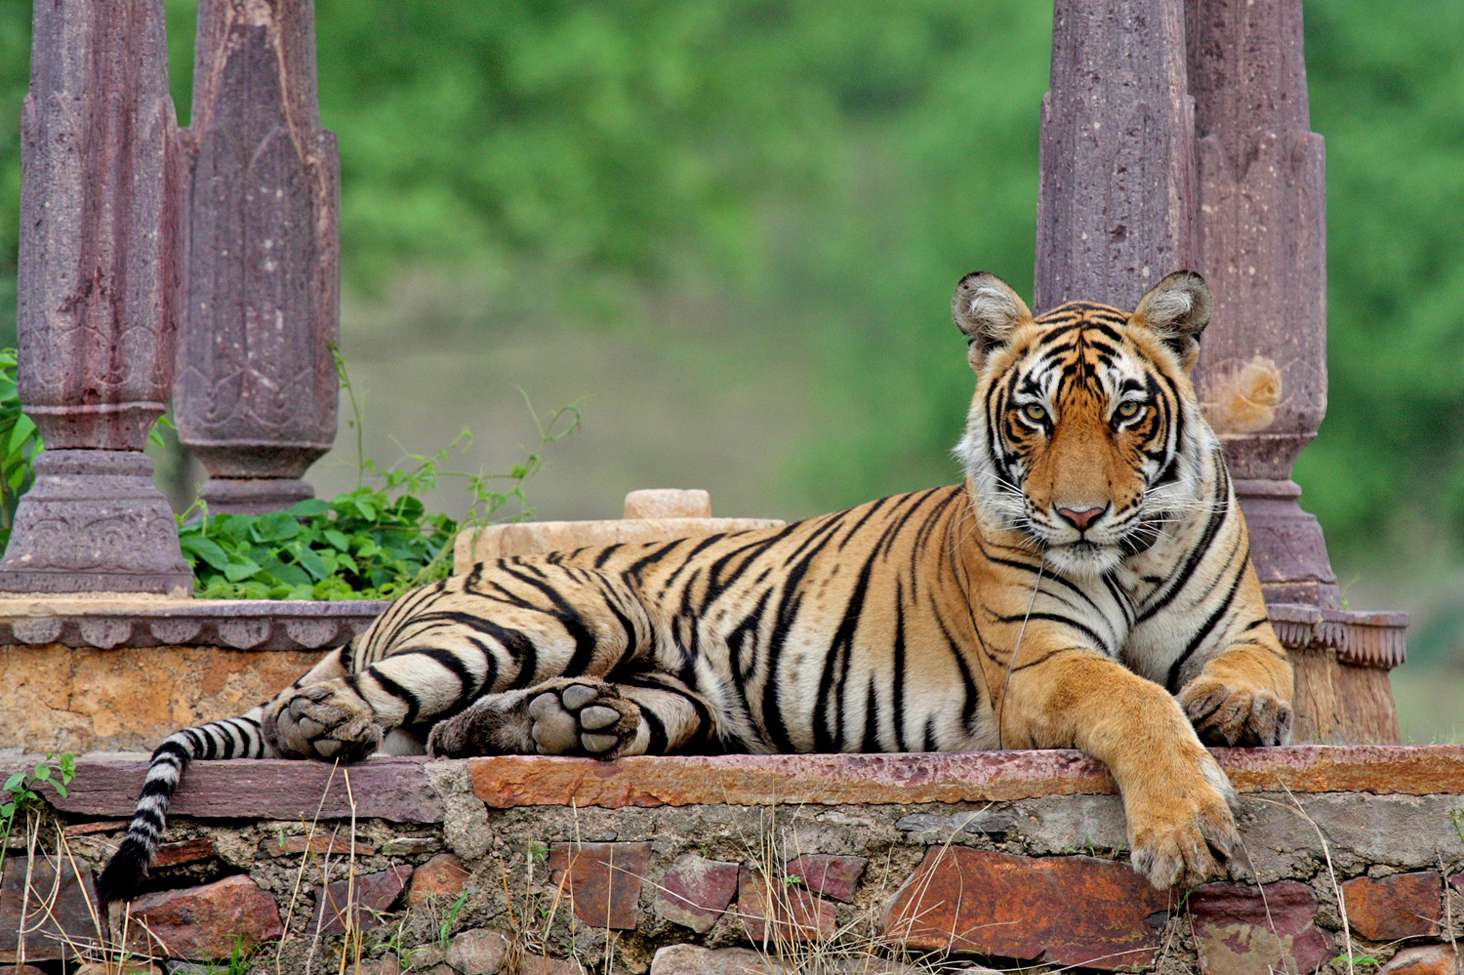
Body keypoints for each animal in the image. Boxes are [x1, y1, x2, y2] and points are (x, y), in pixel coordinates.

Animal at [100, 263, 1294, 895]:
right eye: (1036, 414)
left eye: (1129, 412)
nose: (1079, 513)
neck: (1128, 554)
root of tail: (414, 589)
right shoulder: (1039, 665)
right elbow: (1135, 702)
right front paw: (1188, 827)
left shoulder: (1240, 628)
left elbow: (1250, 676)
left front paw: (1237, 715)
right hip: (558, 608)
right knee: (329, 707)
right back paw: (342, 724)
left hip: (670, 694)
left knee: (451, 732)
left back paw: (564, 724)